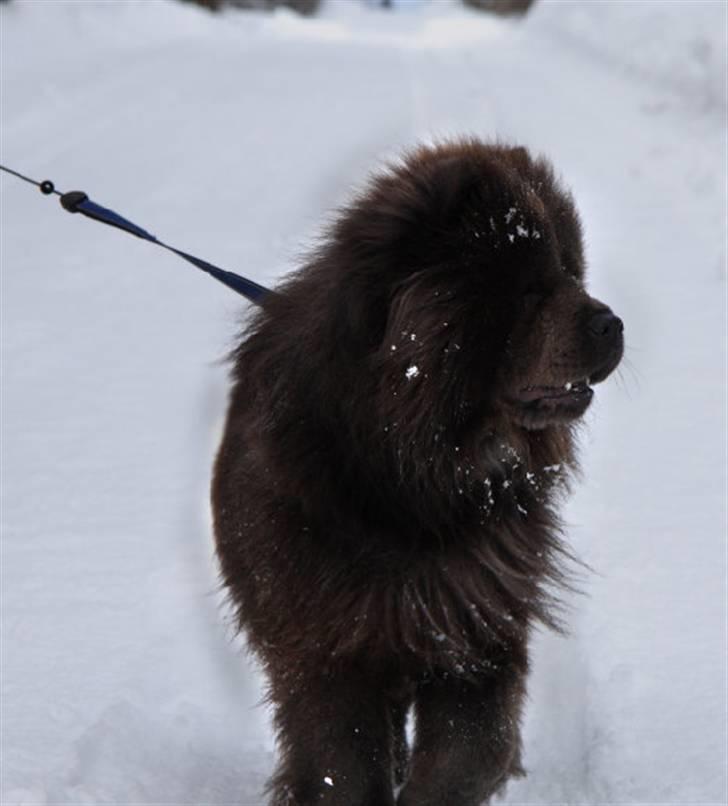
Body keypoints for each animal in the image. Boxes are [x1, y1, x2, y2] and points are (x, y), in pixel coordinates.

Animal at [212, 140, 624, 806]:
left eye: (572, 274)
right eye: (531, 290)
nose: (612, 323)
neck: (416, 475)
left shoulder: (475, 621)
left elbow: (473, 749)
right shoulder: (326, 641)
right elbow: (341, 763)